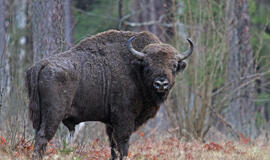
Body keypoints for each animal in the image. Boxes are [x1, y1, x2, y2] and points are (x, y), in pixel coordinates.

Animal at [26, 29, 193, 159]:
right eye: (147, 66)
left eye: (174, 65)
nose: (161, 84)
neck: (135, 69)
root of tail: (42, 64)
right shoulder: (124, 120)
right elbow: (122, 146)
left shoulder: (110, 124)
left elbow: (113, 148)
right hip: (53, 115)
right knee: (43, 137)